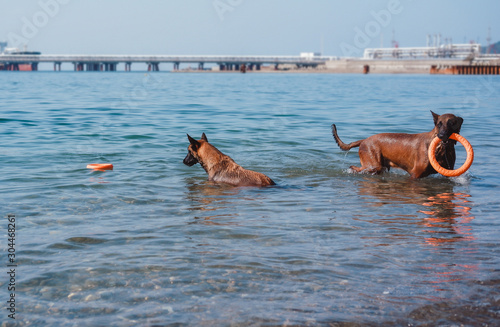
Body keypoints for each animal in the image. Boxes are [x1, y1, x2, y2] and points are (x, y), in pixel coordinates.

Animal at [332, 112, 464, 179]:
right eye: (439, 124)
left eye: (451, 123)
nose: (441, 136)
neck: (442, 149)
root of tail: (364, 140)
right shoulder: (415, 174)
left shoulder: (449, 173)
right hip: (373, 165)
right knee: (354, 168)